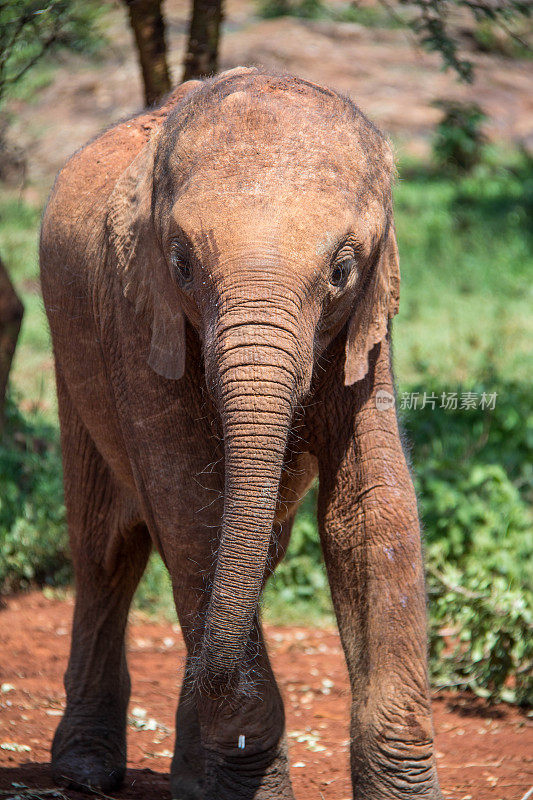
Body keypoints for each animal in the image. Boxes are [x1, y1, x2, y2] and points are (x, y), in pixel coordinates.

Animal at [40, 69, 440, 800]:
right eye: (181, 264)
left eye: (341, 271)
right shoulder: (136, 314)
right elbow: (189, 507)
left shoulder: (366, 331)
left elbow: (371, 511)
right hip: (70, 353)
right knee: (105, 551)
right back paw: (85, 771)